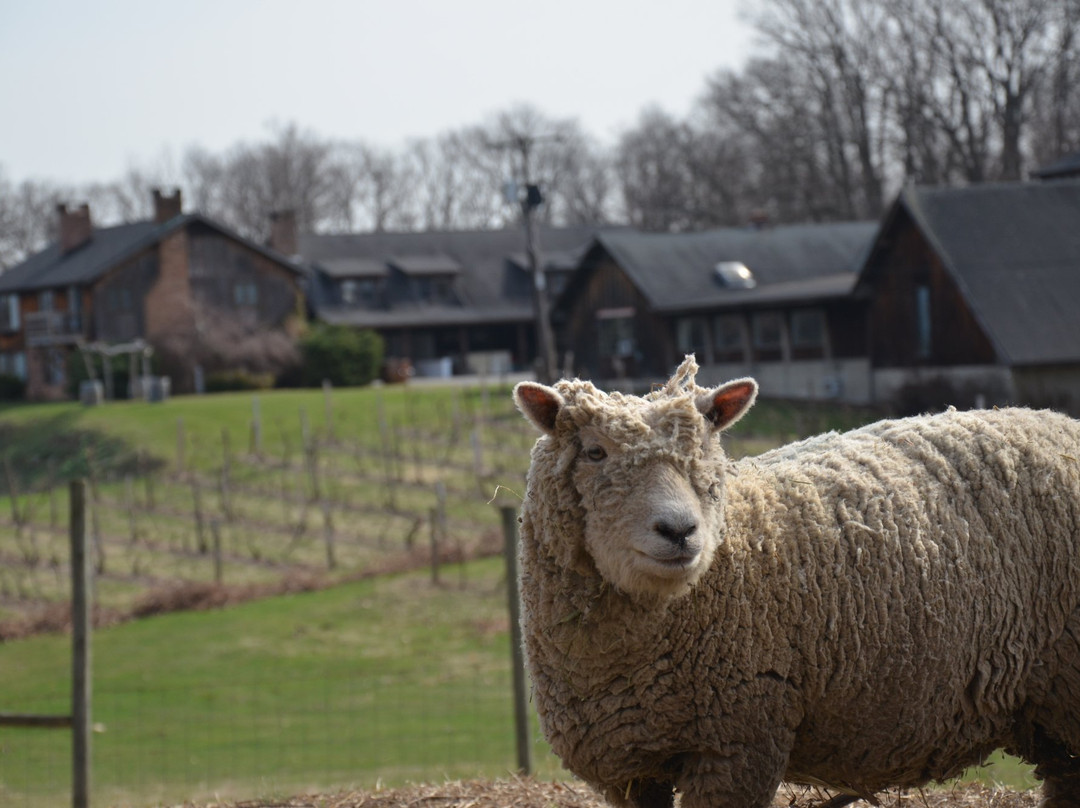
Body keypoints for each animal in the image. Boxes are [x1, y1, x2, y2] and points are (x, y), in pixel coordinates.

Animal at [511, 356, 1080, 808]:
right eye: (594, 453)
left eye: (706, 454)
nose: (679, 530)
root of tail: (1061, 420)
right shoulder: (631, 768)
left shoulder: (737, 745)